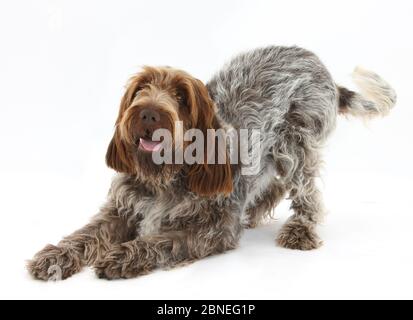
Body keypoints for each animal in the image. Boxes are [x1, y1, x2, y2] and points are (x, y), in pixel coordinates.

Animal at [28, 45, 396, 280]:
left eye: (180, 97)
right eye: (141, 89)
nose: (148, 113)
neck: (167, 176)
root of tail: (320, 66)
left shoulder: (213, 228)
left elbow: (162, 241)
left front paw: (125, 254)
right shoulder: (121, 209)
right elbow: (85, 234)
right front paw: (56, 257)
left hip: (296, 145)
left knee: (306, 194)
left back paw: (300, 229)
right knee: (272, 186)